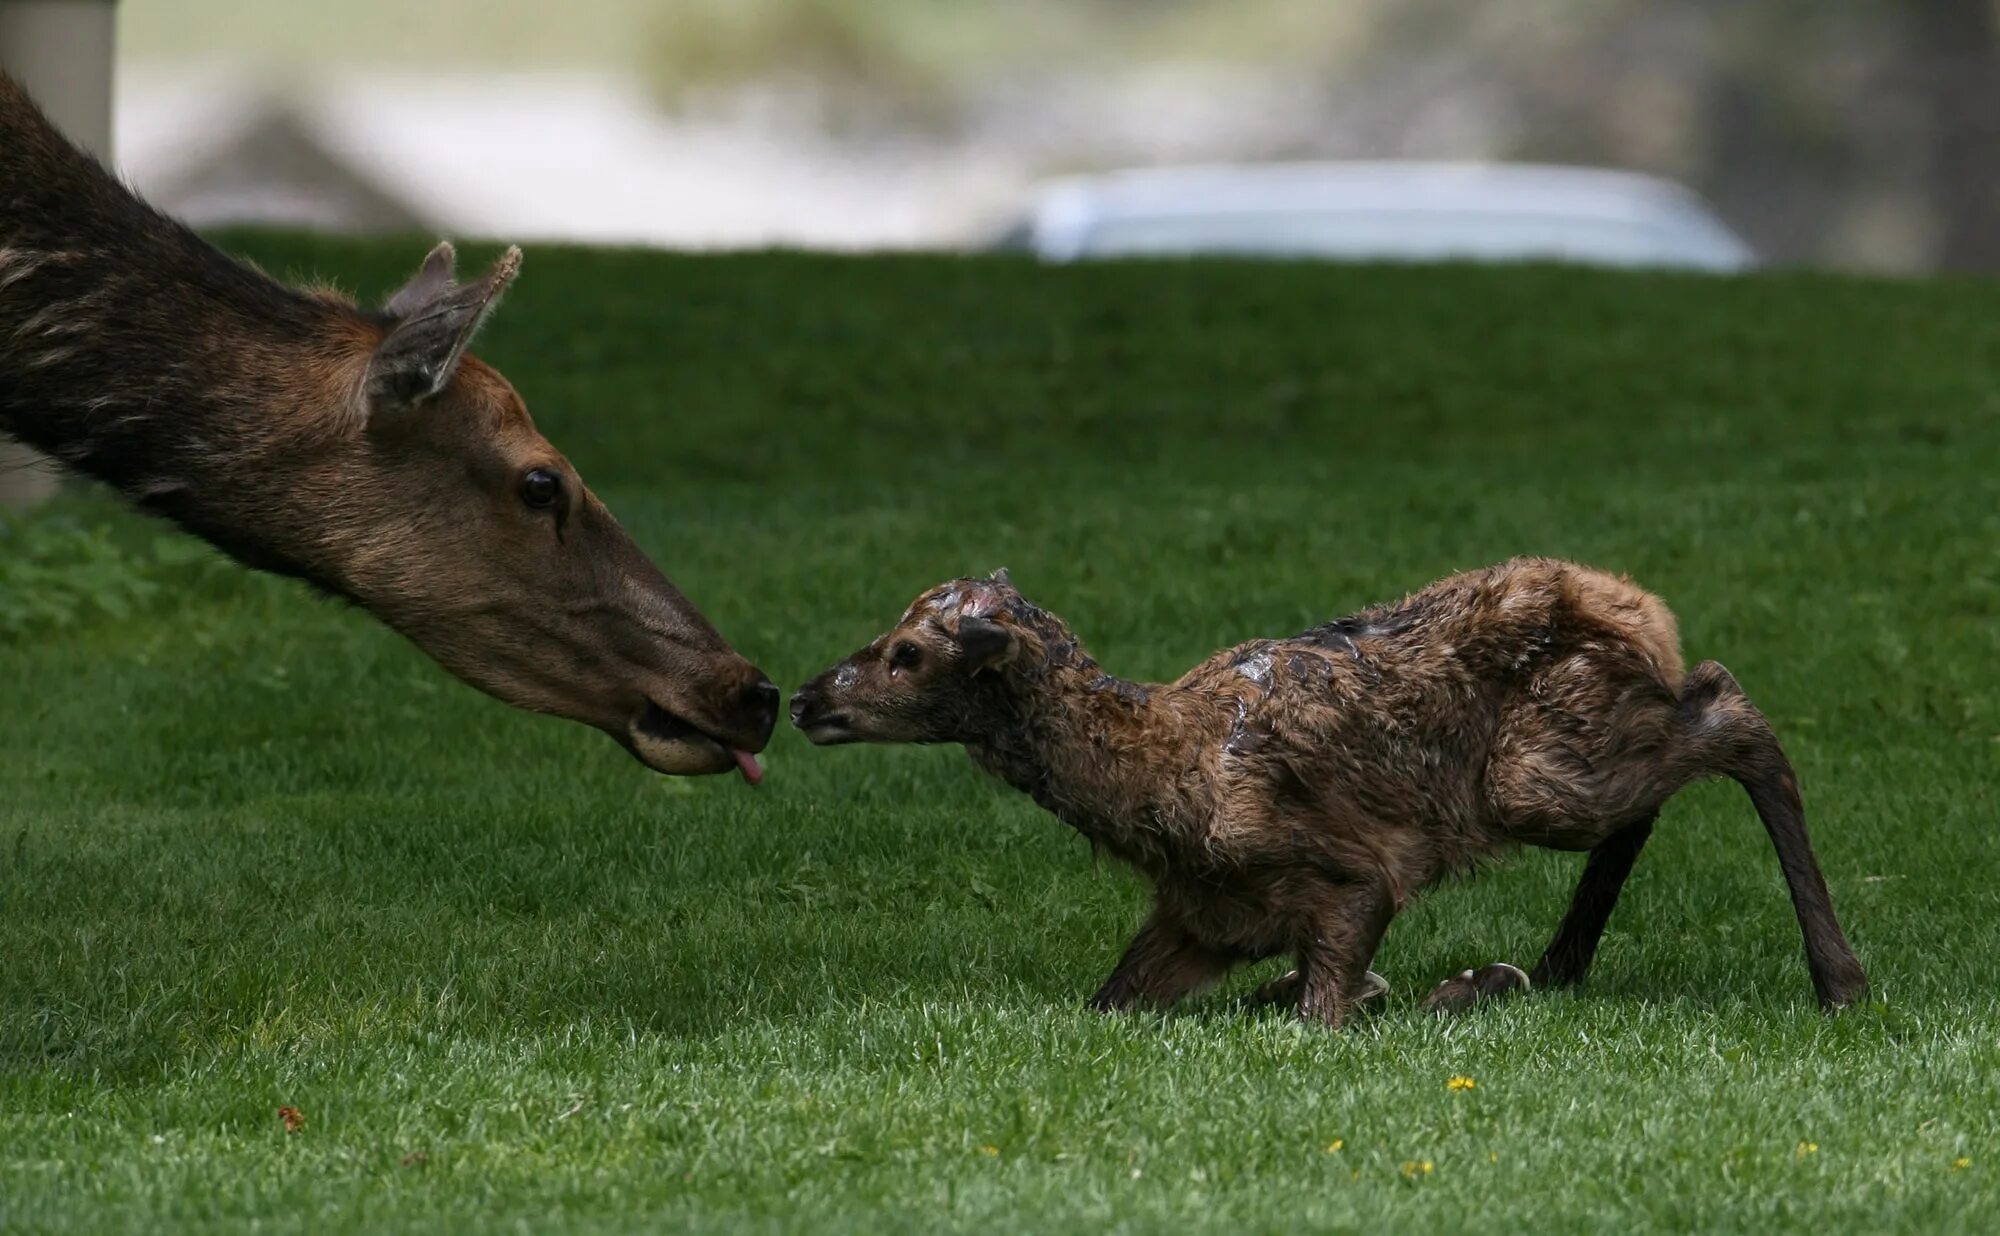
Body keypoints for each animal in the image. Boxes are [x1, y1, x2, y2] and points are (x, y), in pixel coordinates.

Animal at [788, 560, 1864, 1020]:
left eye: (907, 652)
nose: (802, 697)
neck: (1158, 783)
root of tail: (1642, 611)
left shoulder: (1355, 876)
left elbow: (1323, 1014)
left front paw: (1459, 986)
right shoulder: (1201, 917)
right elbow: (1112, 1002)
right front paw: (1463, 979)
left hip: (1532, 778)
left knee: (1730, 707)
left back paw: (1838, 978)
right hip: (1572, 747)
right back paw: (1557, 962)